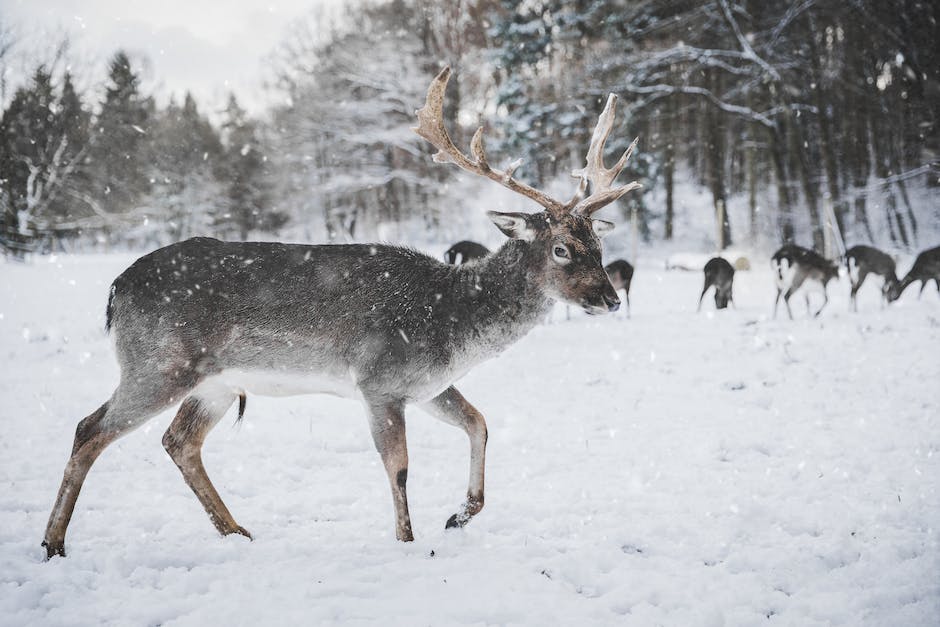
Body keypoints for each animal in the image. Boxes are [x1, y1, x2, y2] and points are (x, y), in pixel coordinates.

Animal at [38, 67, 640, 560]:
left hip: (214, 382)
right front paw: (408, 542)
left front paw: (459, 515)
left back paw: (238, 532)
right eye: (560, 248)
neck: (452, 323)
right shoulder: (380, 379)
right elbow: (399, 467)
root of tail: (115, 289)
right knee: (89, 428)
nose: (610, 299)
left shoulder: (426, 384)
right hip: (158, 363)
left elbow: (480, 423)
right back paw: (54, 543)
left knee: (178, 441)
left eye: (598, 243)